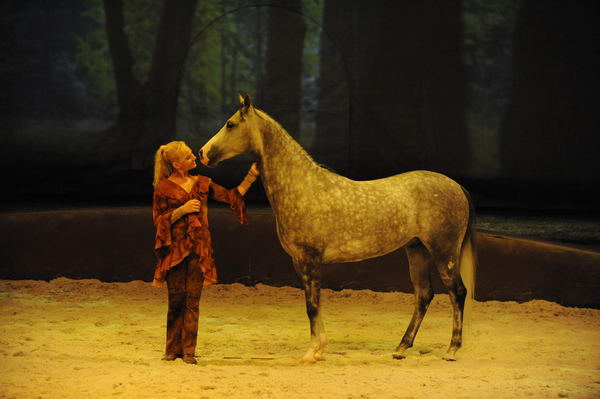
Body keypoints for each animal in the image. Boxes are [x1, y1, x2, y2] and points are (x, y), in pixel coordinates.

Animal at [199, 94, 476, 366]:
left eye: (230, 124)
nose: (202, 153)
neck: (303, 186)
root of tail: (457, 186)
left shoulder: (310, 258)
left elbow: (312, 305)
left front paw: (311, 353)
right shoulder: (300, 261)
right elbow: (315, 304)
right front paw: (320, 350)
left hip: (443, 252)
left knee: (457, 292)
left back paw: (451, 350)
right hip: (417, 250)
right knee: (423, 296)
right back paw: (401, 348)